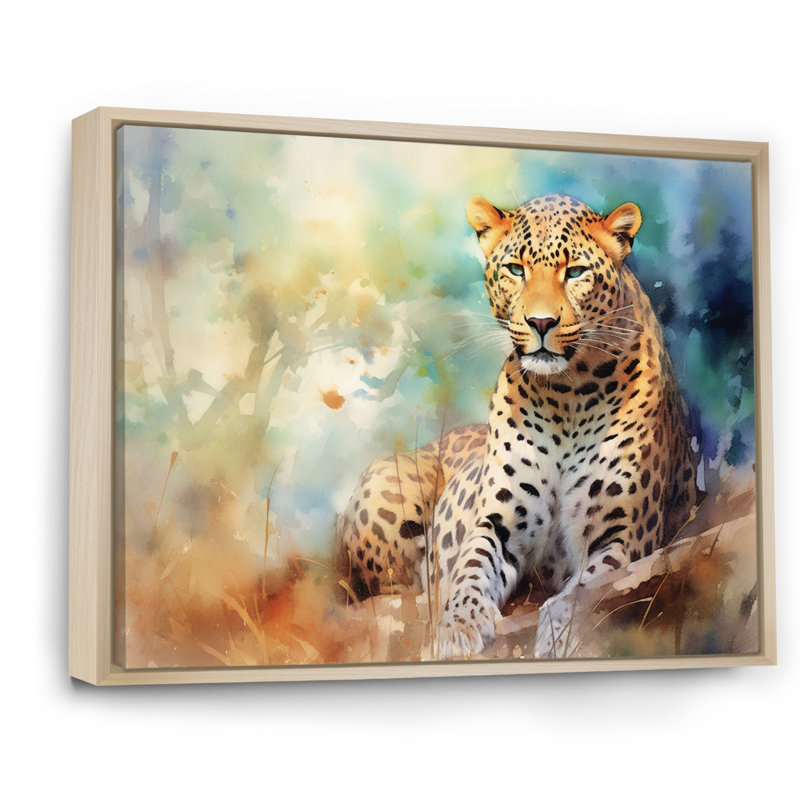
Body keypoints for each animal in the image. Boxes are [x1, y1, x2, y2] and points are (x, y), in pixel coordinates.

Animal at [336, 193, 697, 659]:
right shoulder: (498, 521)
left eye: (575, 272)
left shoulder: (624, 535)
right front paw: (458, 626)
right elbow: (471, 568)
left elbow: (585, 588)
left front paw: (559, 630)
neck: (569, 394)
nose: (540, 323)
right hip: (386, 487)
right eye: (515, 269)